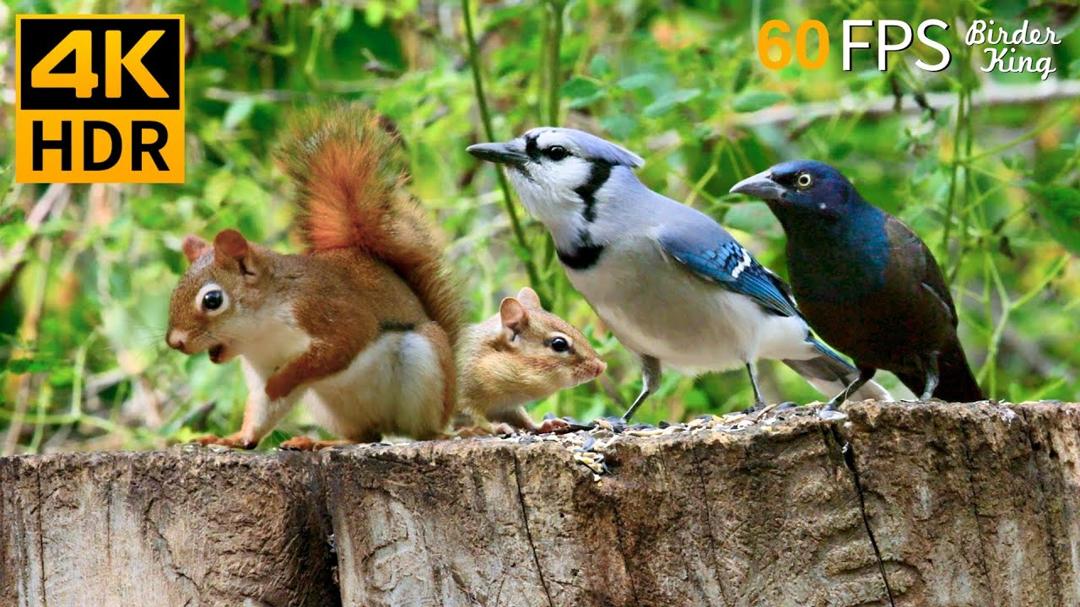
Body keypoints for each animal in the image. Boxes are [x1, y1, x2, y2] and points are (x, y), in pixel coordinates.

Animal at [456, 286, 606, 433]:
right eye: (559, 344)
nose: (601, 367)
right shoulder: (464, 399)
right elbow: (476, 420)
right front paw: (496, 427)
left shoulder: (507, 406)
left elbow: (522, 419)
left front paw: (545, 425)